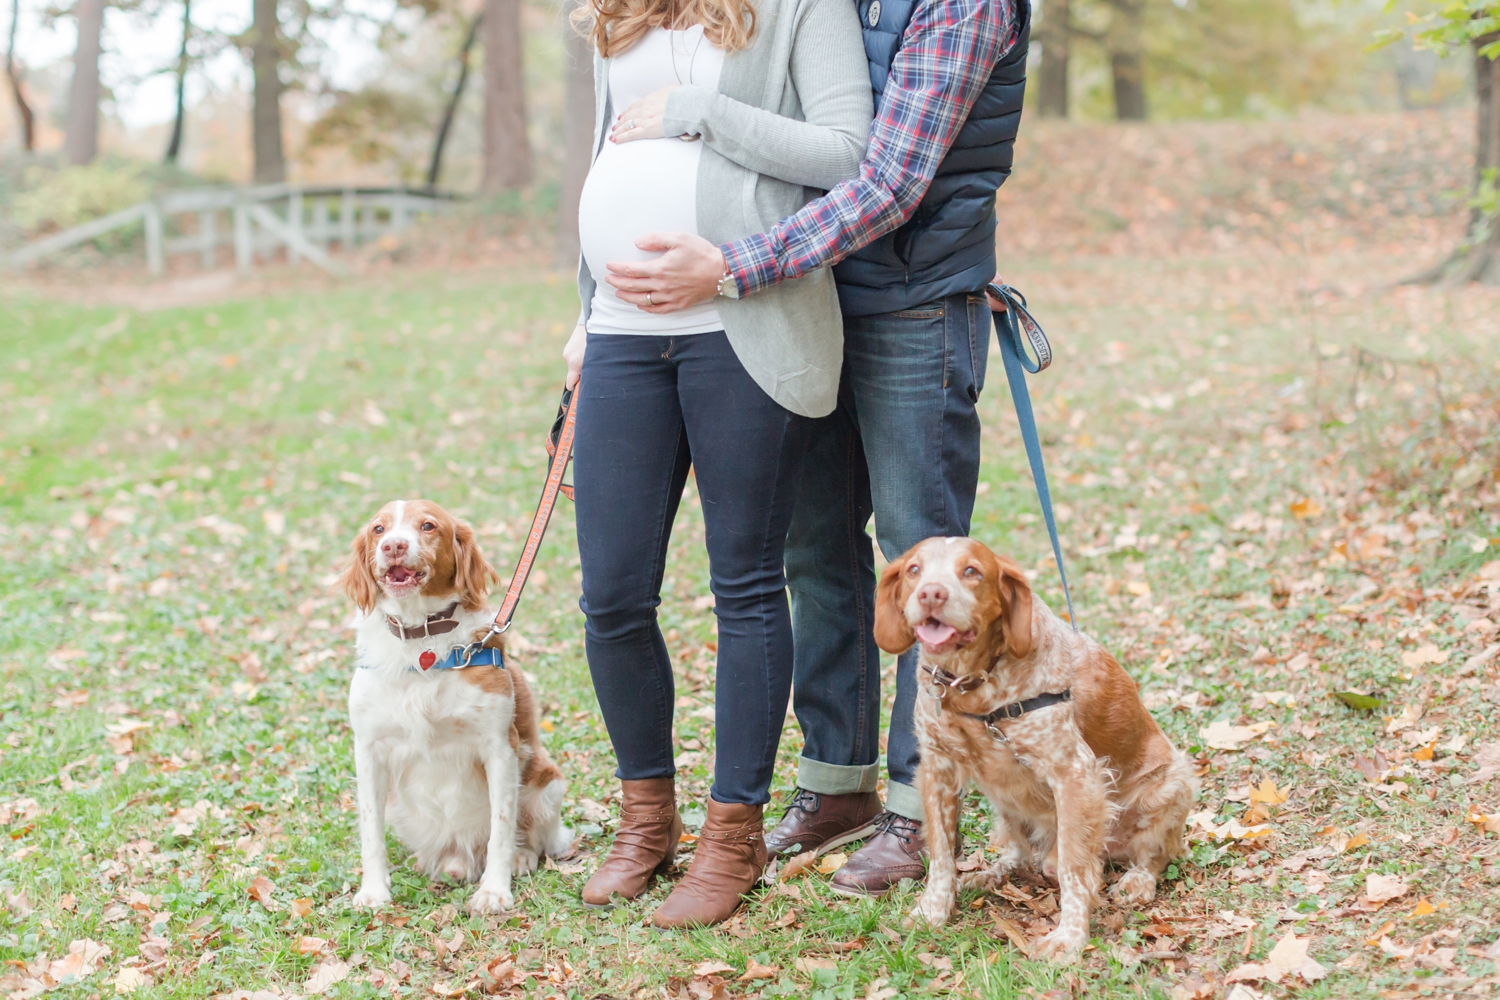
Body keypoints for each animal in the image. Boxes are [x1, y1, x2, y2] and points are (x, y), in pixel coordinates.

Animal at [342, 500, 573, 917]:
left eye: (428, 526)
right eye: (378, 529)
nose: (393, 546)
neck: (421, 640)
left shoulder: (501, 748)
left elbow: (502, 827)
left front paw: (495, 891)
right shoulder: (368, 750)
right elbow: (370, 832)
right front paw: (374, 891)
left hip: (548, 784)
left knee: (531, 835)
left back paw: (521, 858)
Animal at [876, 539, 1200, 959]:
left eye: (972, 571)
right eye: (914, 570)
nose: (931, 593)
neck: (973, 687)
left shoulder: (1074, 773)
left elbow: (1074, 870)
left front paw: (1071, 937)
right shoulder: (937, 769)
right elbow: (942, 856)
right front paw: (933, 910)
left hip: (1173, 784)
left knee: (1150, 855)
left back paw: (1137, 880)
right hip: (1005, 806)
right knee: (1018, 854)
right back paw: (988, 875)